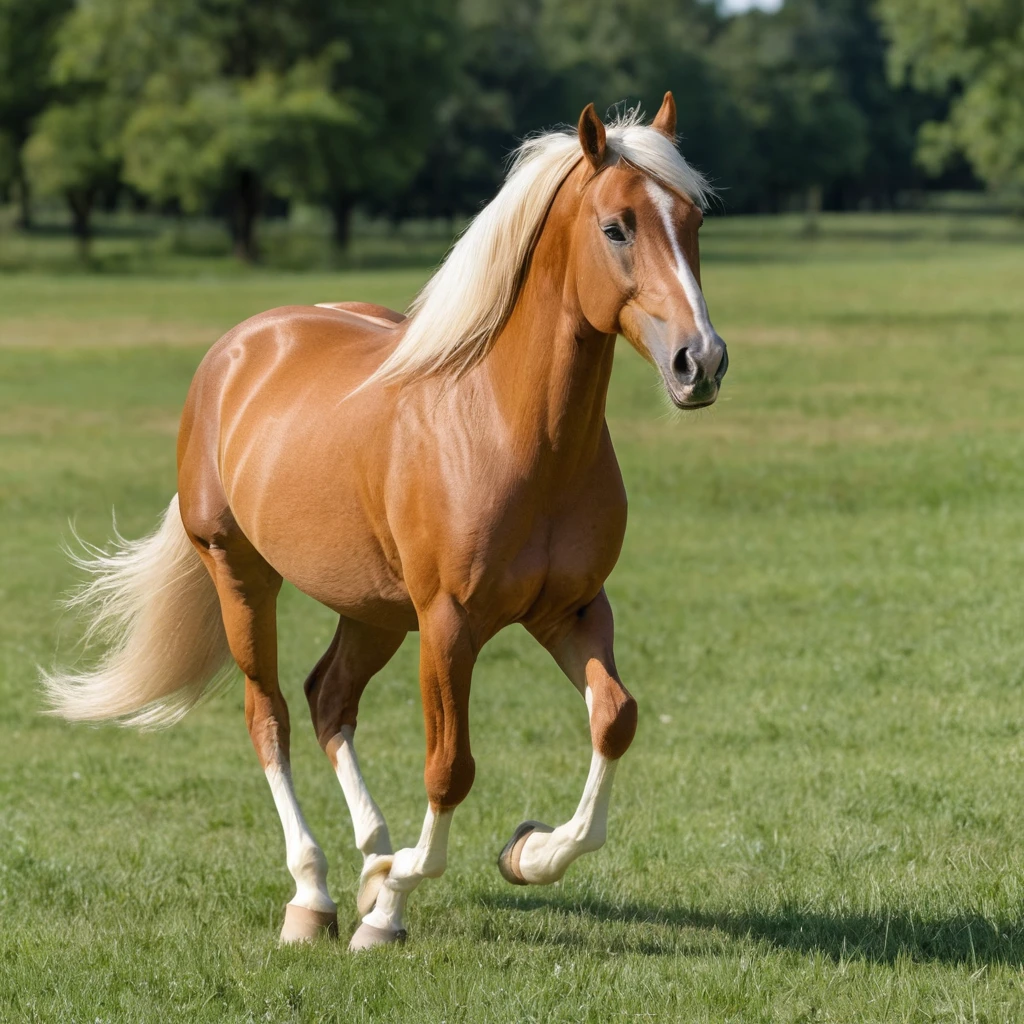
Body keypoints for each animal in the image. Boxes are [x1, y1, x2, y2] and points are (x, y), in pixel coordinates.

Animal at [44, 94, 728, 951]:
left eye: (693, 220)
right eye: (616, 227)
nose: (701, 363)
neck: (507, 429)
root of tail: (238, 348)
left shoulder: (570, 610)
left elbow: (615, 718)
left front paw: (526, 853)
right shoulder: (450, 623)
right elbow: (450, 766)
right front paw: (393, 903)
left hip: (372, 610)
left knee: (328, 698)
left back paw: (369, 862)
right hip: (242, 574)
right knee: (269, 716)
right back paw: (316, 895)